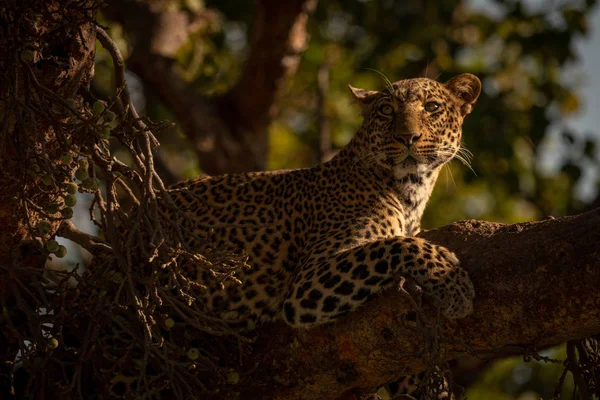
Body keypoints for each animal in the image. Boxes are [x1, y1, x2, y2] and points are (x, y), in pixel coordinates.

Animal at [166, 72, 480, 396]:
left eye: (431, 107)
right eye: (386, 110)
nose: (407, 137)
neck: (412, 194)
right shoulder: (306, 285)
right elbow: (395, 244)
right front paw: (452, 283)